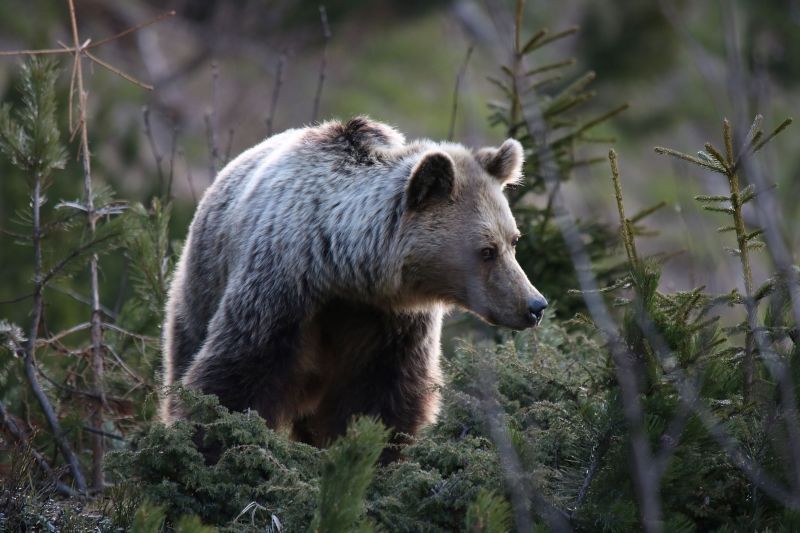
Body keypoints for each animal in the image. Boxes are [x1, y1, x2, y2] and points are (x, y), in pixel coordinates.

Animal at [162, 115, 552, 454]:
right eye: (486, 251)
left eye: (513, 240)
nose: (534, 305)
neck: (343, 270)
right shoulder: (281, 287)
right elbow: (236, 374)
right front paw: (209, 443)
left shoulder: (389, 321)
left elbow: (383, 398)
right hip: (201, 282)